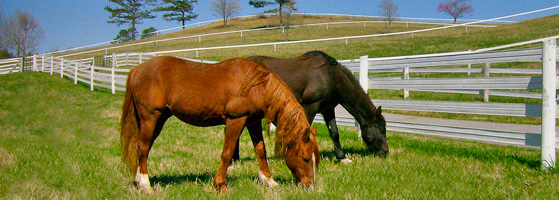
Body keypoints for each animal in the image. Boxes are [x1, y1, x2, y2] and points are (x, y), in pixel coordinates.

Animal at [121, 55, 320, 192]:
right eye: (305, 158)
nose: (309, 186)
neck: (256, 86)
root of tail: (137, 69)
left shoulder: (253, 122)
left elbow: (260, 151)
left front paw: (269, 180)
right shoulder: (235, 120)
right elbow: (227, 153)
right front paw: (220, 185)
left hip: (158, 119)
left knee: (143, 147)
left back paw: (139, 180)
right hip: (151, 118)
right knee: (143, 148)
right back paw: (145, 185)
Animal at [245, 51, 390, 164]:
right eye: (382, 129)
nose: (385, 151)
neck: (329, 76)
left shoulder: (328, 109)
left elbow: (334, 133)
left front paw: (342, 157)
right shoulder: (310, 107)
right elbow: (305, 131)